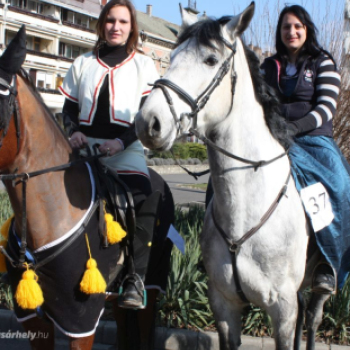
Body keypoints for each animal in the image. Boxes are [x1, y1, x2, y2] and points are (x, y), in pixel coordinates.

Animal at [135, 3, 330, 350]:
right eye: (172, 57)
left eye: (211, 60)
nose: (149, 122)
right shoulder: (224, 305)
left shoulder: (282, 309)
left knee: (314, 317)